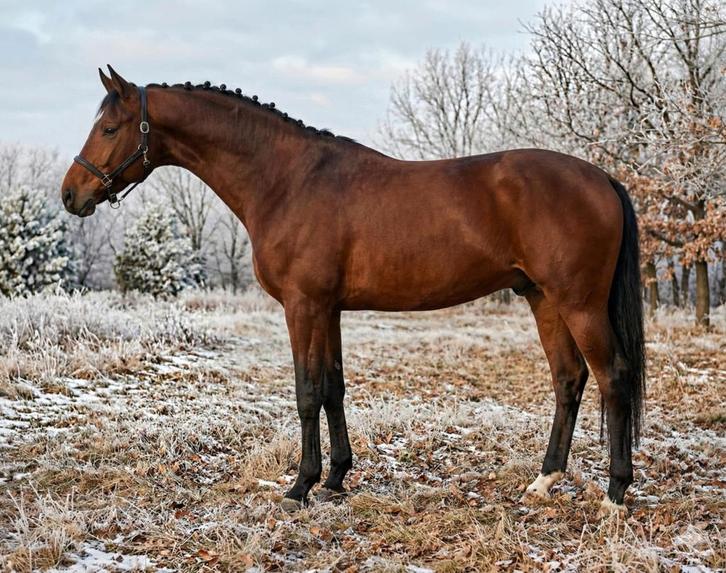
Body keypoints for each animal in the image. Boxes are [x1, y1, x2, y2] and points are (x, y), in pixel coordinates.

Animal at [61, 66, 645, 514]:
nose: (71, 194)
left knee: (613, 377)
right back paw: (544, 481)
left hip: (579, 304)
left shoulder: (303, 307)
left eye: (109, 128)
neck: (285, 180)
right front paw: (337, 478)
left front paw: (300, 487)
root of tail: (602, 178)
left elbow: (306, 392)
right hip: (542, 299)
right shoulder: (330, 309)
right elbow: (334, 388)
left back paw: (615, 494)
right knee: (569, 380)